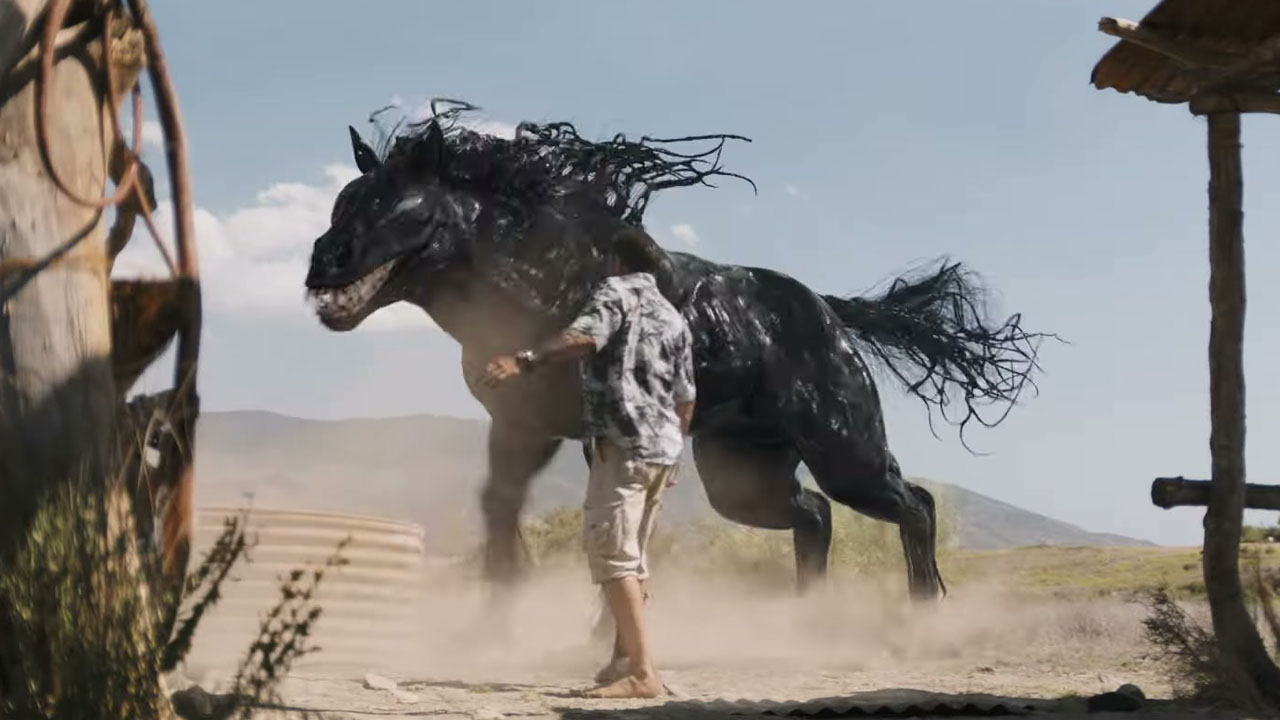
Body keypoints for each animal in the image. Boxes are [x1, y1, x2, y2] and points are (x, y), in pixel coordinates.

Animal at [303, 106, 1046, 601]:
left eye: (396, 205)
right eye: (344, 198)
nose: (320, 262)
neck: (543, 277)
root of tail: (832, 314)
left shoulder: (592, 433)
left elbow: (601, 524)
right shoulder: (523, 426)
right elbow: (499, 506)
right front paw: (500, 609)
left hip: (846, 450)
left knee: (911, 504)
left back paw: (923, 610)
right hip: (742, 475)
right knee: (814, 515)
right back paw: (808, 617)